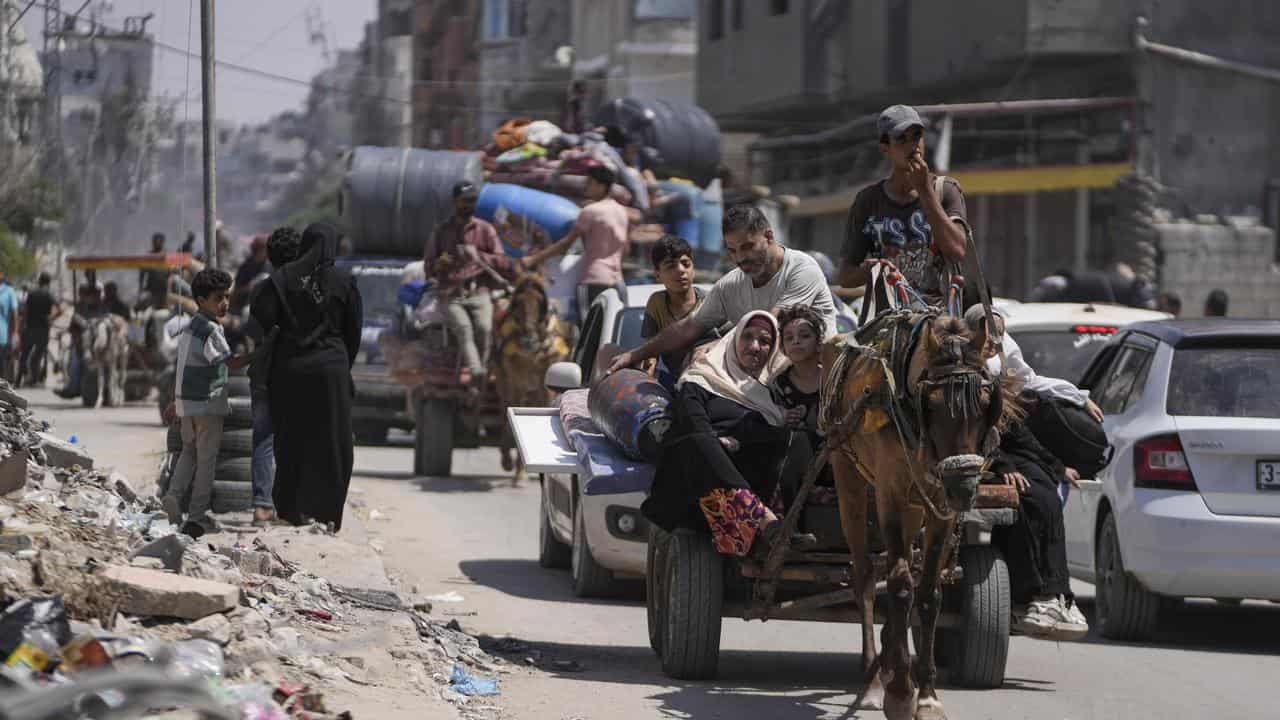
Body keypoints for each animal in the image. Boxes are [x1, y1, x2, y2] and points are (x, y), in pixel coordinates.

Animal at [494, 272, 570, 481]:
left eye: (540, 303)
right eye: (518, 303)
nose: (528, 341)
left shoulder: (545, 384)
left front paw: (520, 471)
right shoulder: (515, 381)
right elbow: (510, 413)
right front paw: (511, 464)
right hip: (504, 379)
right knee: (503, 407)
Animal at [819, 307, 1018, 717]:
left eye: (986, 402)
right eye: (934, 405)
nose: (964, 489)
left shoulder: (939, 507)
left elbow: (927, 593)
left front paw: (925, 695)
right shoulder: (890, 493)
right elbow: (898, 586)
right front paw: (898, 693)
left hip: (917, 504)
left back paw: (891, 659)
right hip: (848, 473)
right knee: (865, 575)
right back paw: (874, 679)